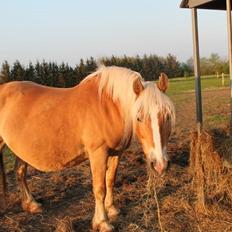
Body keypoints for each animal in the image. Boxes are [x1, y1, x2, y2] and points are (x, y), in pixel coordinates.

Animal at [0, 66, 174, 231]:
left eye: (167, 116)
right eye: (139, 117)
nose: (160, 165)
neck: (108, 106)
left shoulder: (116, 153)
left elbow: (110, 180)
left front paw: (112, 209)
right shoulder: (98, 153)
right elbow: (100, 188)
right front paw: (102, 222)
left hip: (20, 150)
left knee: (20, 172)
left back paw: (31, 204)